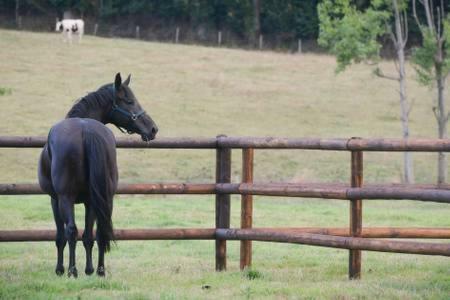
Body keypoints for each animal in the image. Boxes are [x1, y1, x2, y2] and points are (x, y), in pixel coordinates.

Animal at [38, 73, 159, 276]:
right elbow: (88, 235)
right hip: (103, 196)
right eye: (129, 101)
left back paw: (72, 271)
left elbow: (61, 236)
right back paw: (99, 270)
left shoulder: (54, 199)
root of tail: (86, 130)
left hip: (66, 197)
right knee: (100, 232)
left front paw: (60, 269)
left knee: (71, 231)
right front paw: (89, 269)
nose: (153, 129)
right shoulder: (90, 199)